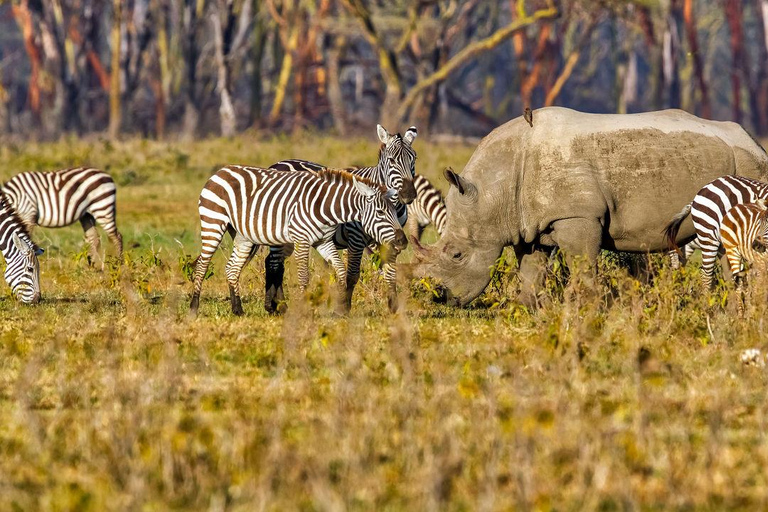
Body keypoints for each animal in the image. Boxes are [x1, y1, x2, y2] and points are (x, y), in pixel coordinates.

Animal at [190, 164, 408, 316]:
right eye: (380, 212)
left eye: (394, 211)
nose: (402, 242)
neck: (326, 207)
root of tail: (221, 171)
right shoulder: (302, 239)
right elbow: (304, 276)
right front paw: (304, 309)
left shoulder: (324, 242)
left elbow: (340, 271)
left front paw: (340, 309)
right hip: (213, 223)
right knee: (202, 265)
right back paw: (194, 308)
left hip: (244, 236)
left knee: (232, 268)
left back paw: (238, 310)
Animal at [264, 125, 420, 316]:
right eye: (391, 160)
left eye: (414, 158)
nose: (409, 194)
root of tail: (278, 163)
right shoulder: (356, 237)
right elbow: (352, 274)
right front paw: (343, 308)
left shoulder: (389, 239)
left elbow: (390, 272)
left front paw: (394, 308)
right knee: (273, 263)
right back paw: (276, 306)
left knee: (275, 262)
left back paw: (278, 306)